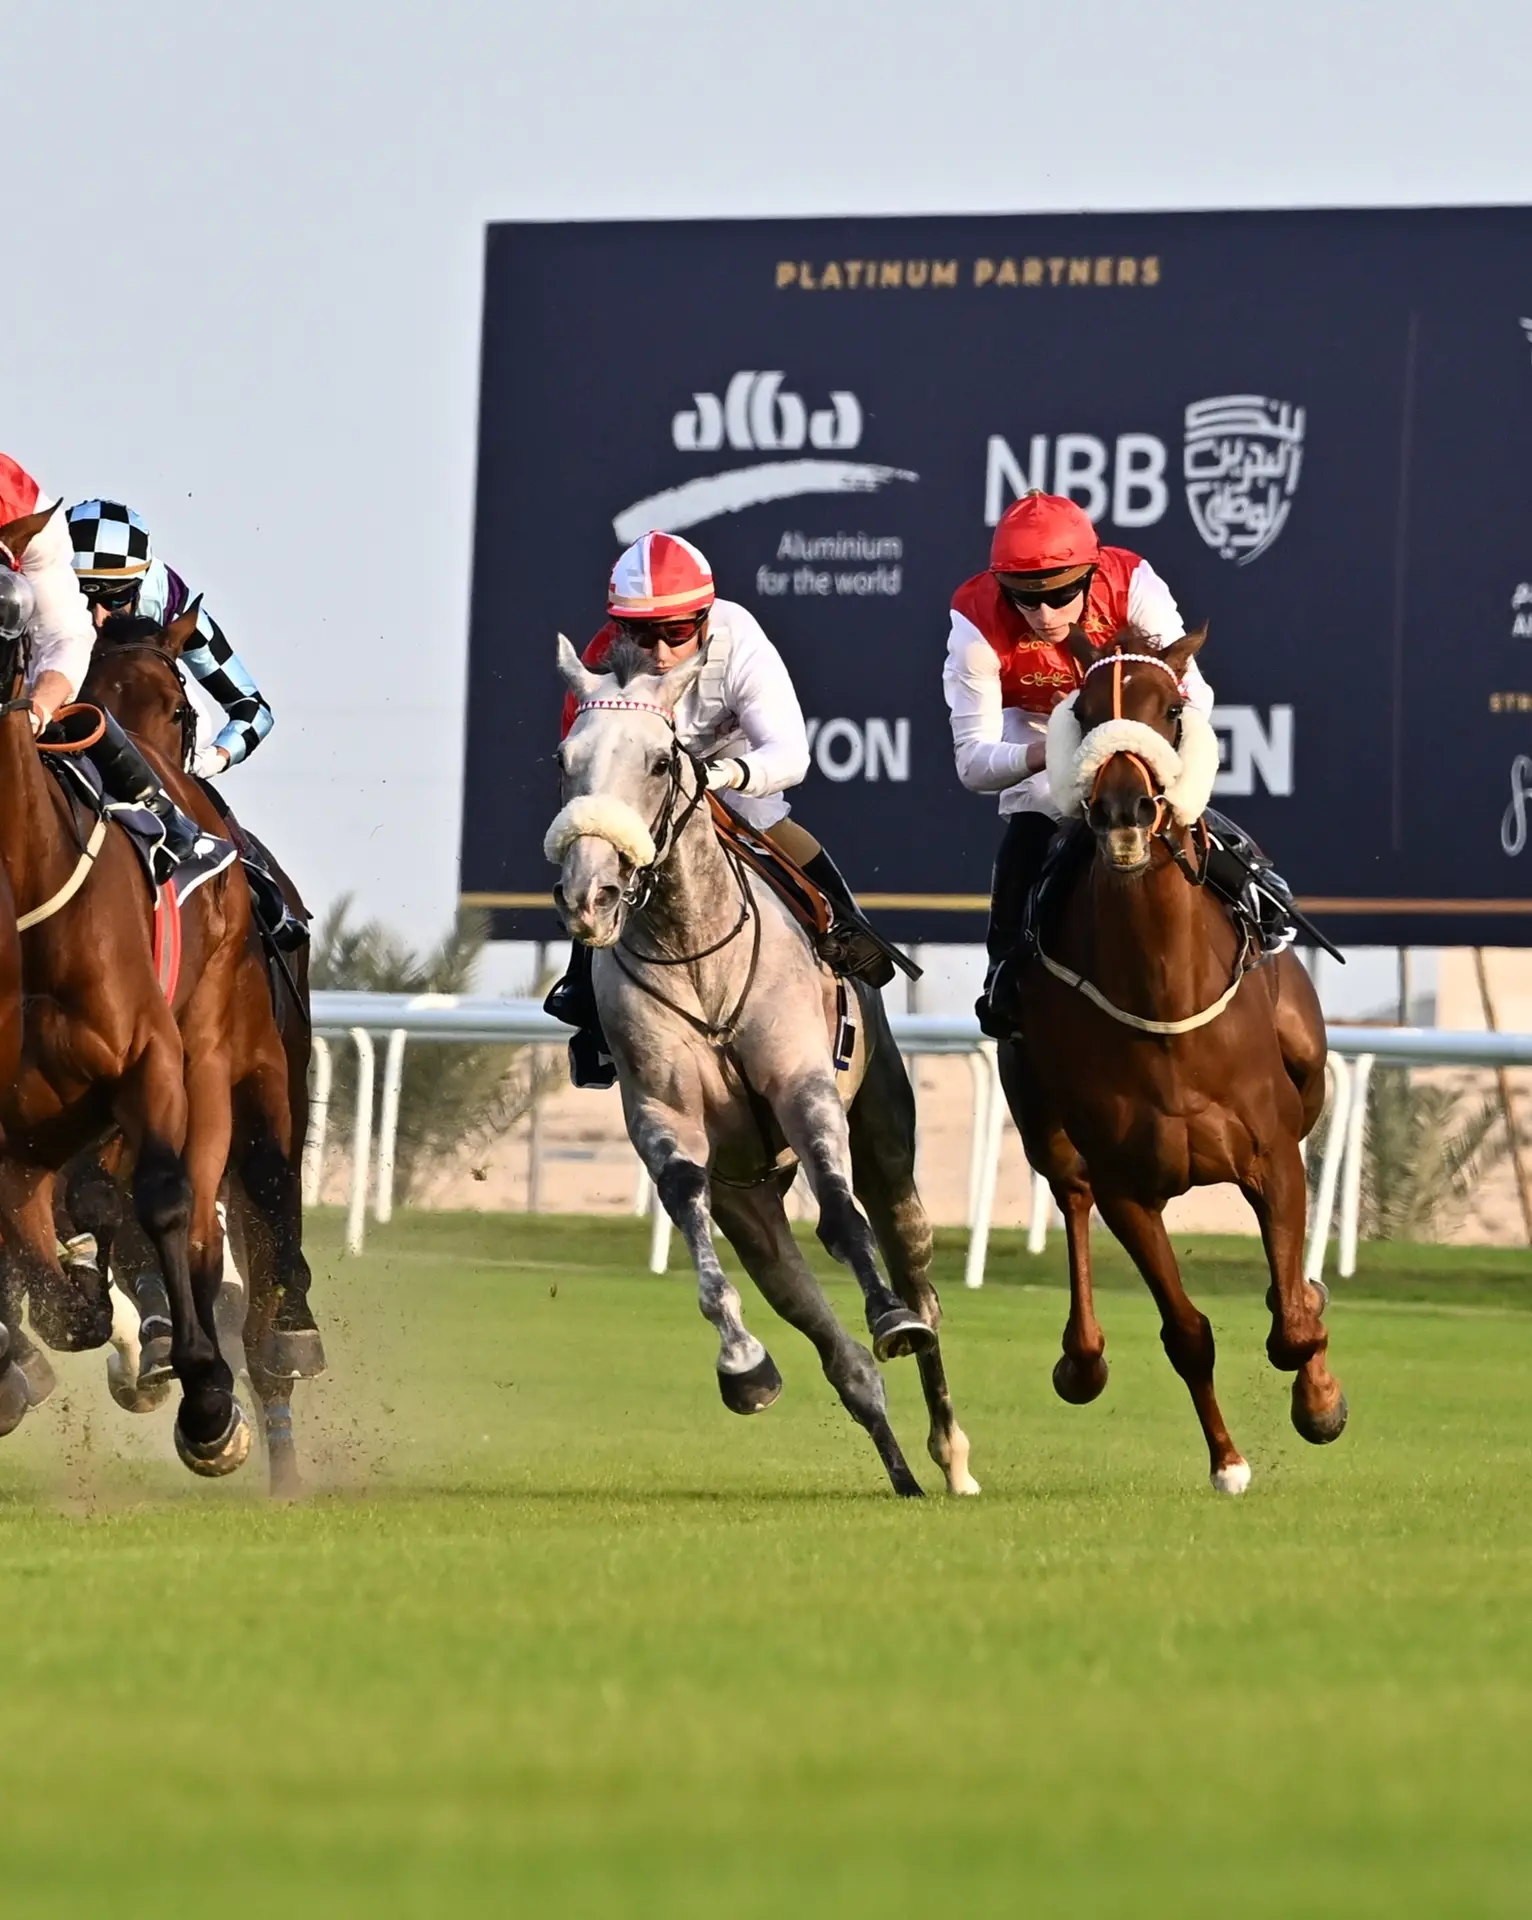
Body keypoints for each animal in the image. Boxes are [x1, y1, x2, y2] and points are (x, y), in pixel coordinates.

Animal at [0, 504, 249, 1474]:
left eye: (184, 705)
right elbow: (56, 1282)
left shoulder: (151, 1054)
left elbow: (167, 1198)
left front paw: (207, 1398)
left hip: (205, 1046)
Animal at [549, 635, 977, 1499]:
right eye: (564, 758)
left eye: (658, 761)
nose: (590, 894)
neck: (696, 954)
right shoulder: (664, 1117)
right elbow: (687, 1204)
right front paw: (744, 1364)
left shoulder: (801, 1085)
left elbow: (844, 1219)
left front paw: (891, 1319)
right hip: (754, 1205)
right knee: (841, 1359)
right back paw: (901, 1470)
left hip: (886, 1133)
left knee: (916, 1268)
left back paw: (949, 1451)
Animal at [1000, 626, 1344, 1494]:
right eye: (1083, 711)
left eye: (1173, 708)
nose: (1123, 812)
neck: (1163, 1008)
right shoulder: (1129, 1187)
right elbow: (1187, 1332)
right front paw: (1228, 1461)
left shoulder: (1273, 1155)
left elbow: (1293, 1322)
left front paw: (1320, 1400)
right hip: (1039, 1117)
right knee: (1071, 1194)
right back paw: (1081, 1360)